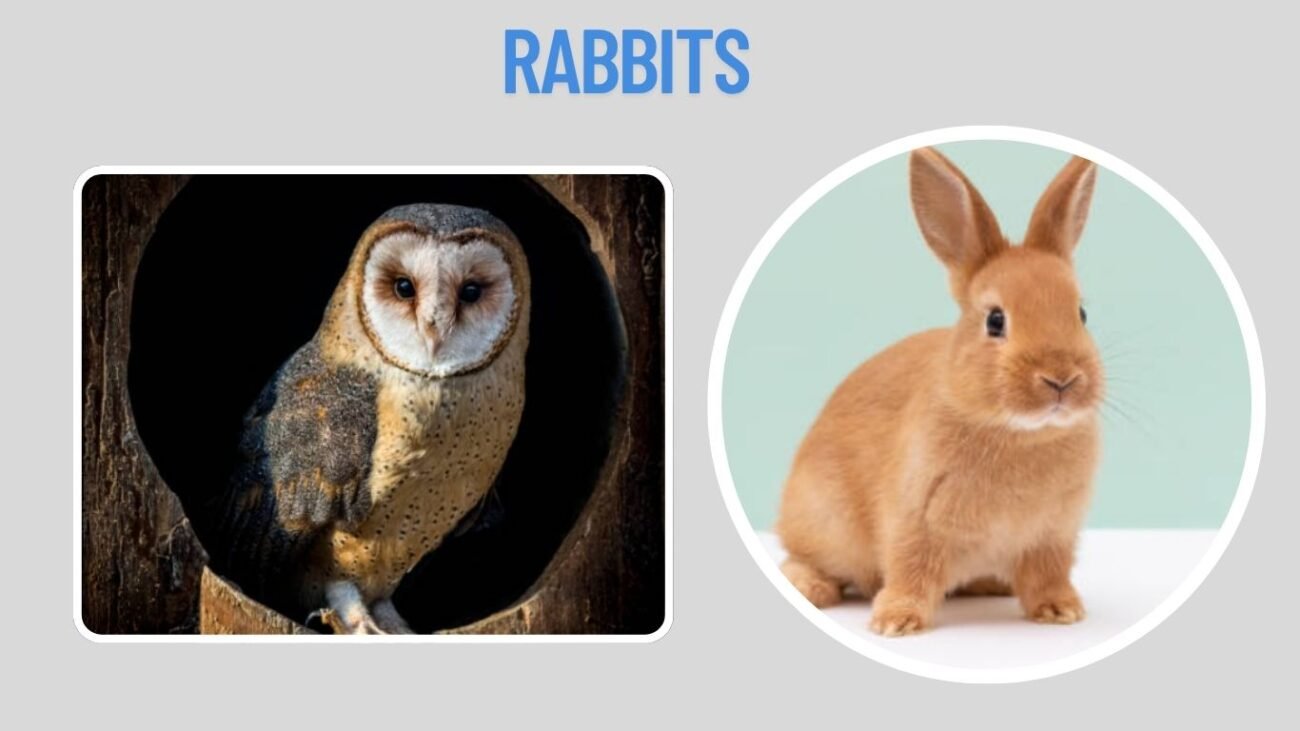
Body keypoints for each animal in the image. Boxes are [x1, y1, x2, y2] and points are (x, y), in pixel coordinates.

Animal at [776, 147, 1103, 636]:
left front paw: (1060, 611)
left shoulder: (1052, 536)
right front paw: (896, 621)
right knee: (803, 559)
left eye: (1080, 314)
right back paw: (809, 588)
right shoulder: (915, 519)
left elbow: (1048, 574)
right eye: (995, 320)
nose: (1061, 379)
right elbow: (911, 569)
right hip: (822, 521)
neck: (1019, 434)